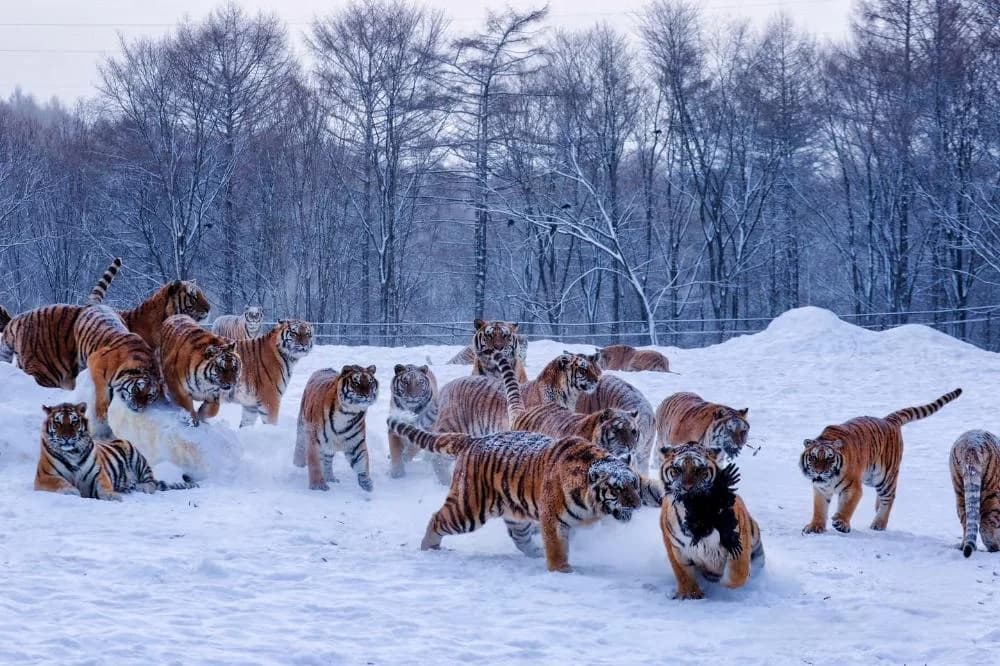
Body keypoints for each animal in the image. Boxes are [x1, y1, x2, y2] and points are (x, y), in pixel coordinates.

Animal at [34, 402, 197, 501]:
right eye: (58, 422)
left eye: (74, 422)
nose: (67, 437)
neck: (72, 453)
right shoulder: (45, 476)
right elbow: (61, 482)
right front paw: (72, 491)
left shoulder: (98, 474)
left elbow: (104, 486)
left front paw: (113, 496)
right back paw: (129, 486)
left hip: (135, 455)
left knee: (151, 483)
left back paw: (141, 487)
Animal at [74, 303, 162, 436]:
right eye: (136, 389)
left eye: (150, 395)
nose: (139, 407)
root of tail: (96, 304)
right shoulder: (96, 360)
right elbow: (101, 387)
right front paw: (101, 413)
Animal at [387, 415, 642, 573]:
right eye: (617, 489)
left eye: (634, 484)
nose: (638, 504)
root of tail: (473, 439)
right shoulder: (553, 519)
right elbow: (558, 547)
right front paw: (561, 570)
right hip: (468, 509)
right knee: (438, 518)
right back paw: (429, 547)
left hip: (514, 513)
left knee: (520, 538)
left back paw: (536, 552)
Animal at [659, 441, 763, 599]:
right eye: (677, 470)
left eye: (700, 470)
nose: (687, 488)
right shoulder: (676, 547)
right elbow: (682, 573)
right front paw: (690, 594)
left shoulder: (738, 540)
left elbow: (738, 573)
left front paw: (722, 583)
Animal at [800, 388, 963, 534]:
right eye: (813, 457)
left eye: (830, 458)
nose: (819, 472)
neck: (829, 480)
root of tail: (888, 420)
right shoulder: (821, 489)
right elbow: (819, 509)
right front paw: (815, 526)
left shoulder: (852, 488)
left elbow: (847, 507)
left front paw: (841, 522)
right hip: (870, 477)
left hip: (885, 477)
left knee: (889, 498)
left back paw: (879, 524)